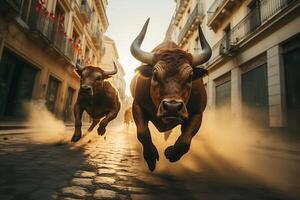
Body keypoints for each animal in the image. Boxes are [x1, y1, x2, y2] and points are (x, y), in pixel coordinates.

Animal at [130, 18, 212, 171]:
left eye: (190, 77)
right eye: (155, 75)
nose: (172, 107)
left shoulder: (198, 113)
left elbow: (185, 140)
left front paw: (171, 153)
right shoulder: (137, 105)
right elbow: (143, 133)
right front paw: (150, 157)